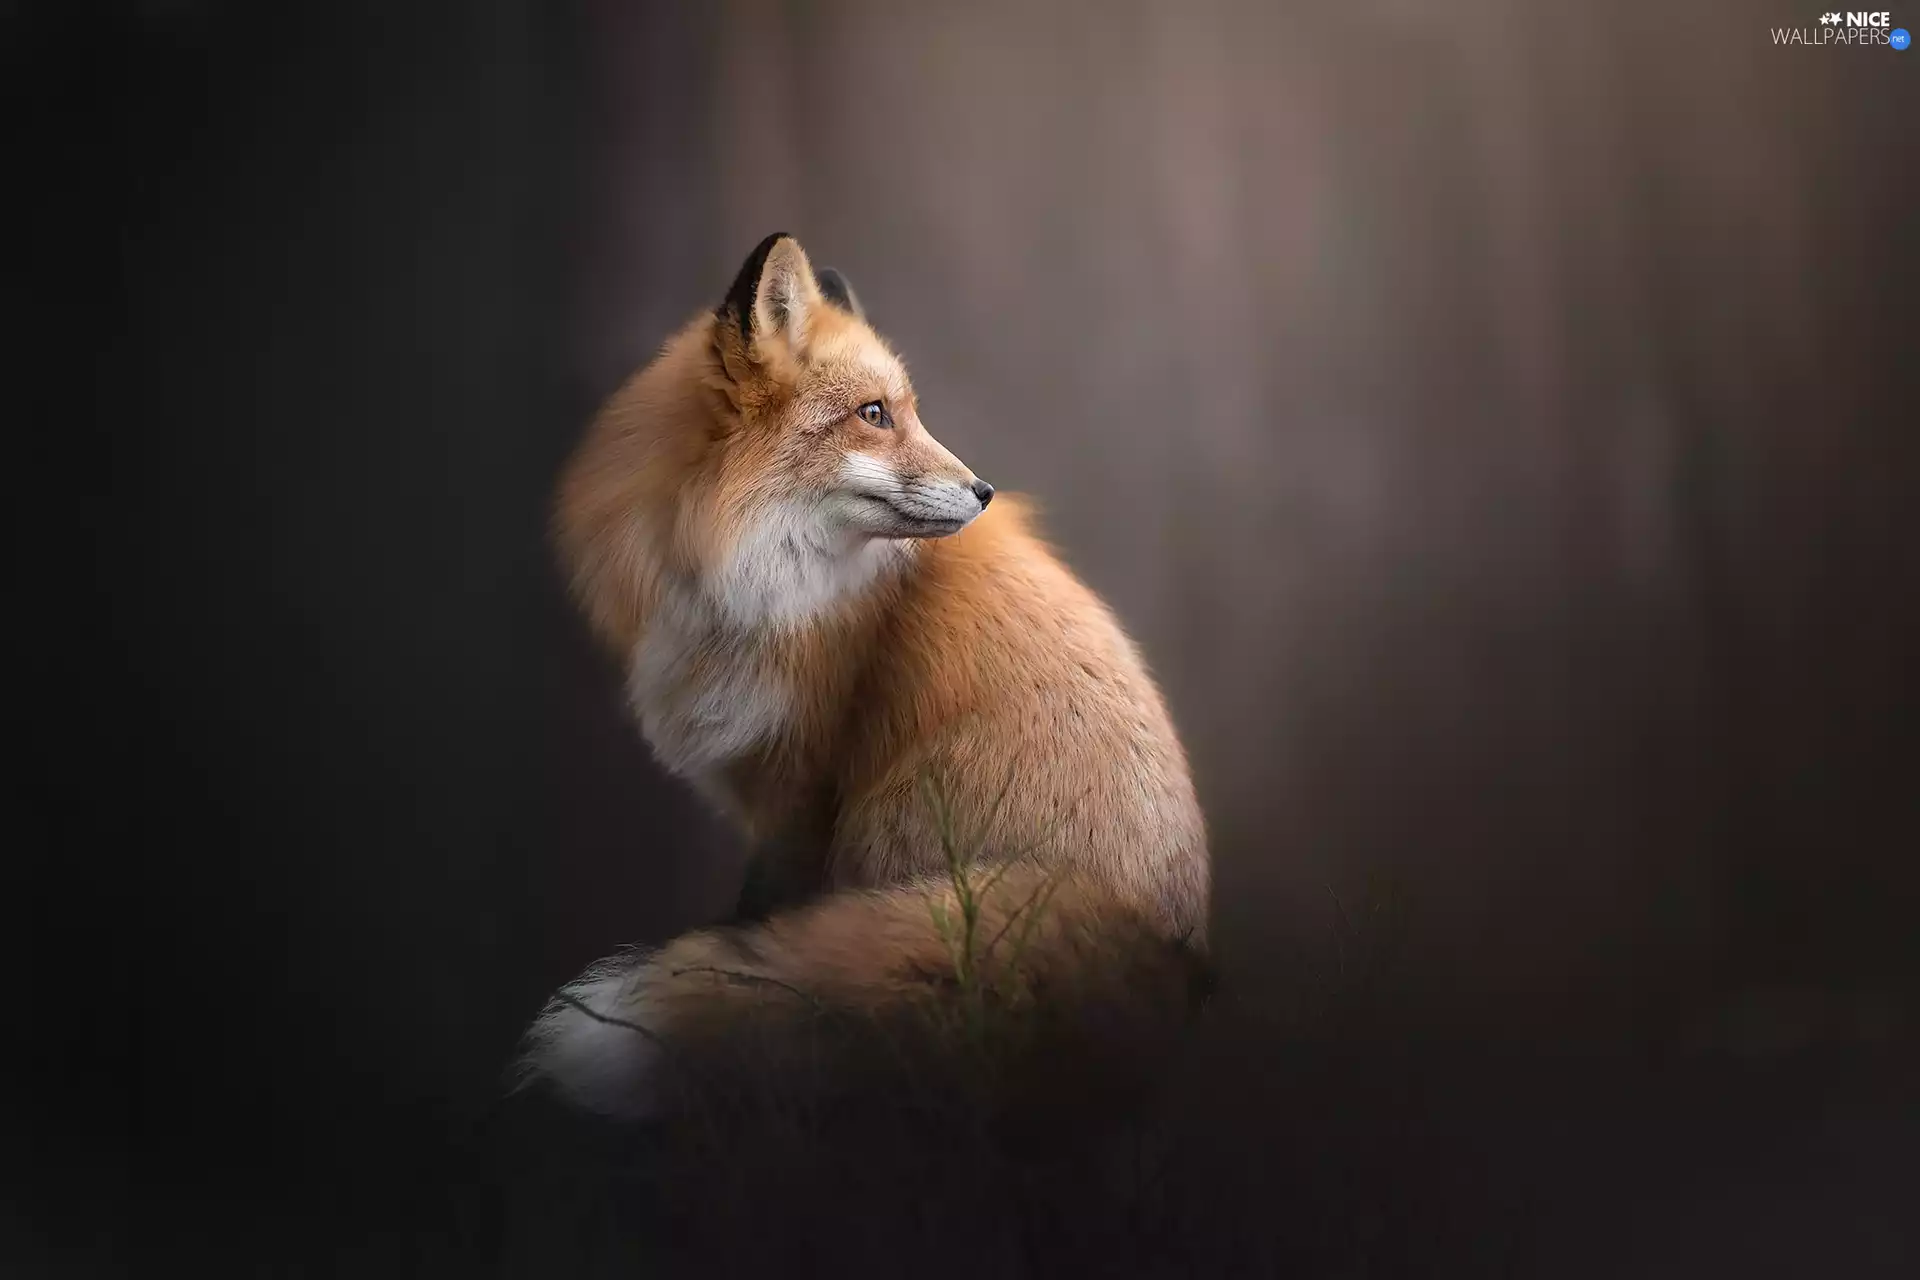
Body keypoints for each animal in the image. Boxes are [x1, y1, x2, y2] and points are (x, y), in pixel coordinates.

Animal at [520, 233, 1211, 1121]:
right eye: (874, 414)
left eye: (906, 411)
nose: (985, 491)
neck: (744, 580)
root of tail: (1169, 945)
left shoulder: (806, 786)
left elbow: (763, 914)